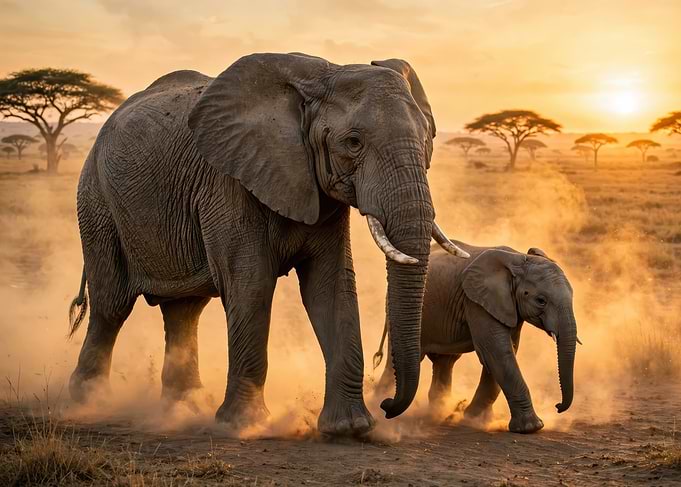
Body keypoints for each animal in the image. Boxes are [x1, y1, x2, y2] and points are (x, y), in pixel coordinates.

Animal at [66, 52, 469, 436]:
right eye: (353, 143)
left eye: (429, 139)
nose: (387, 405)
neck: (322, 77)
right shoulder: (228, 181)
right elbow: (251, 284)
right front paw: (243, 425)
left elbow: (332, 287)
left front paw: (350, 429)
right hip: (96, 199)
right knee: (111, 305)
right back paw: (88, 403)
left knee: (184, 310)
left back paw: (182, 409)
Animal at [374, 244, 578, 433]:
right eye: (541, 301)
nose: (558, 406)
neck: (519, 258)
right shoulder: (476, 301)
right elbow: (497, 351)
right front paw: (531, 428)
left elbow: (504, 351)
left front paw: (475, 419)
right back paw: (382, 402)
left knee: (446, 362)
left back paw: (439, 411)